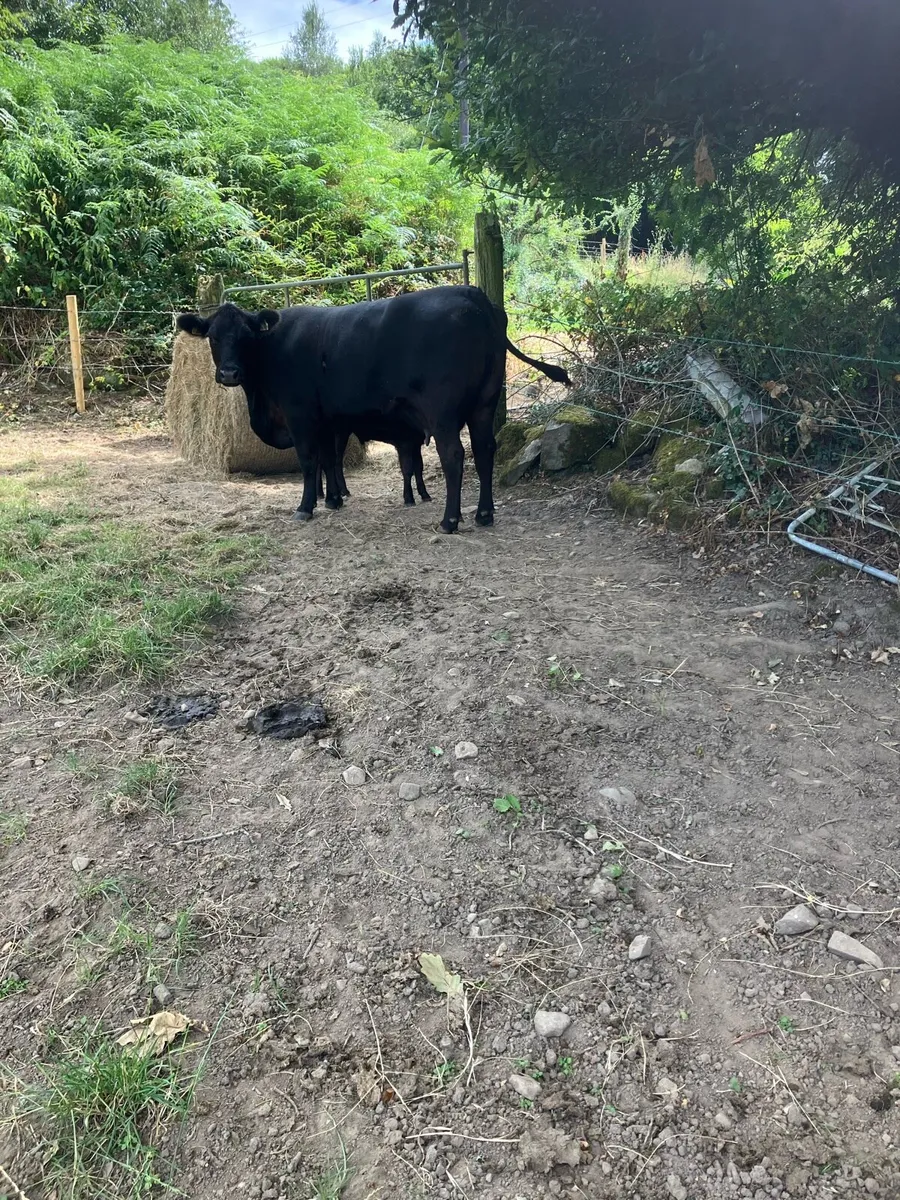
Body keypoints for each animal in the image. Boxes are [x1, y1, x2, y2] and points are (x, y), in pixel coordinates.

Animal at [176, 285, 569, 534]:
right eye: (213, 336)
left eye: (245, 336)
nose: (229, 373)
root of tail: (472, 294)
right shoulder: (330, 420)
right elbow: (329, 459)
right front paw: (334, 500)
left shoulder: (300, 414)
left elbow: (309, 461)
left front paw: (306, 507)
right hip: (485, 403)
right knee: (486, 449)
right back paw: (485, 513)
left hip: (443, 412)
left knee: (455, 456)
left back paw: (450, 520)